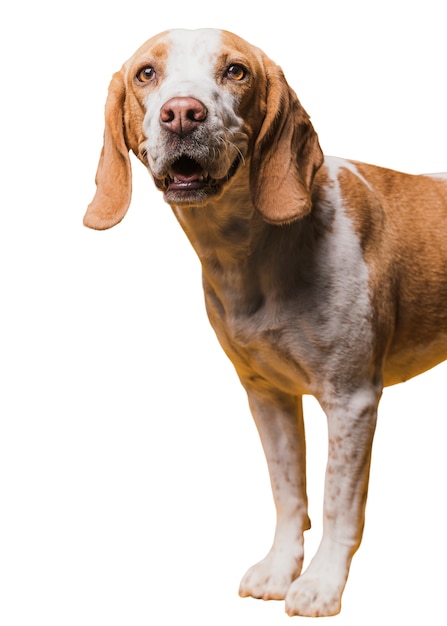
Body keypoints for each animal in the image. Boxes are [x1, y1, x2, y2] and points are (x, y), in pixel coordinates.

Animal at [84, 28, 447, 616]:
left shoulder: (352, 401)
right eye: (146, 73)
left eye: (236, 71)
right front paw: (281, 569)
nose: (182, 113)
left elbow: (336, 502)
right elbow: (288, 491)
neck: (255, 251)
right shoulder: (266, 395)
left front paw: (321, 584)